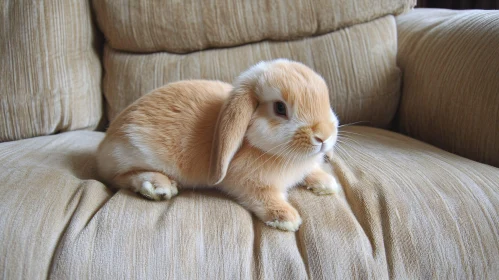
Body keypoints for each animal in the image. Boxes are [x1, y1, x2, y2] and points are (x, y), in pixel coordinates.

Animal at [96, 58, 340, 231]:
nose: (324, 136)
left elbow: (311, 171)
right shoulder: (248, 183)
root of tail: (104, 144)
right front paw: (287, 218)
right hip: (133, 152)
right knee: (118, 178)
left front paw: (327, 183)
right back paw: (158, 186)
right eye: (280, 108)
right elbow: (264, 196)